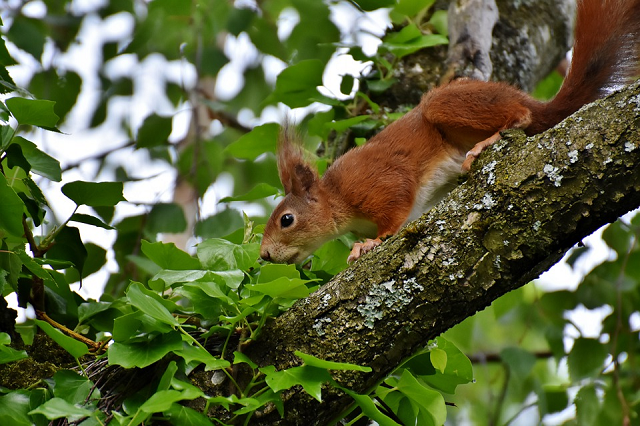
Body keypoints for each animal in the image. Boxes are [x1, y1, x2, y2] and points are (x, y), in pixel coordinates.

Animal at [258, 0, 640, 264]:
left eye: (287, 220)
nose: (263, 256)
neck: (336, 197)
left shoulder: (377, 182)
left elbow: (394, 210)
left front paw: (370, 244)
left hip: (445, 105)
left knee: (521, 116)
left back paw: (487, 142)